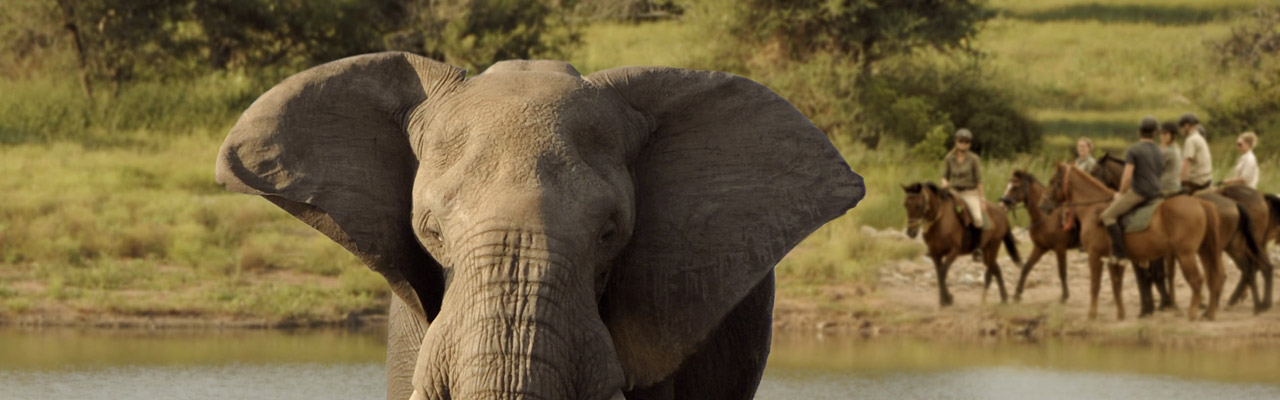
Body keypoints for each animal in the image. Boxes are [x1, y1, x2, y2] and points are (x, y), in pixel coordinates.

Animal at [993, 169, 1075, 302]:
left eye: (1015, 187)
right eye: (1007, 185)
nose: (1002, 205)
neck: (1046, 217)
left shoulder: (1060, 248)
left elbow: (1062, 271)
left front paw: (1064, 296)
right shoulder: (1040, 247)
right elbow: (1026, 267)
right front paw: (1017, 294)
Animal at [1049, 163, 1228, 321]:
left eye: (1052, 181)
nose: (1044, 204)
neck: (1094, 209)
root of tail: (1200, 203)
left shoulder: (1095, 255)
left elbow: (1096, 285)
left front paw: (1091, 315)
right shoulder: (1115, 259)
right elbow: (1117, 285)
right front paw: (1121, 314)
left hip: (1186, 255)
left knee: (1197, 280)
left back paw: (1192, 313)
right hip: (1204, 251)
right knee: (1213, 278)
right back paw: (1209, 313)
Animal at [1090, 154, 1269, 314]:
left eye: (1094, 171)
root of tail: (1237, 203)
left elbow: (1153, 276)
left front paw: (1160, 304)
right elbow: (1161, 275)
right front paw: (1164, 303)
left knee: (1242, 270)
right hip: (1232, 246)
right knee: (1250, 268)